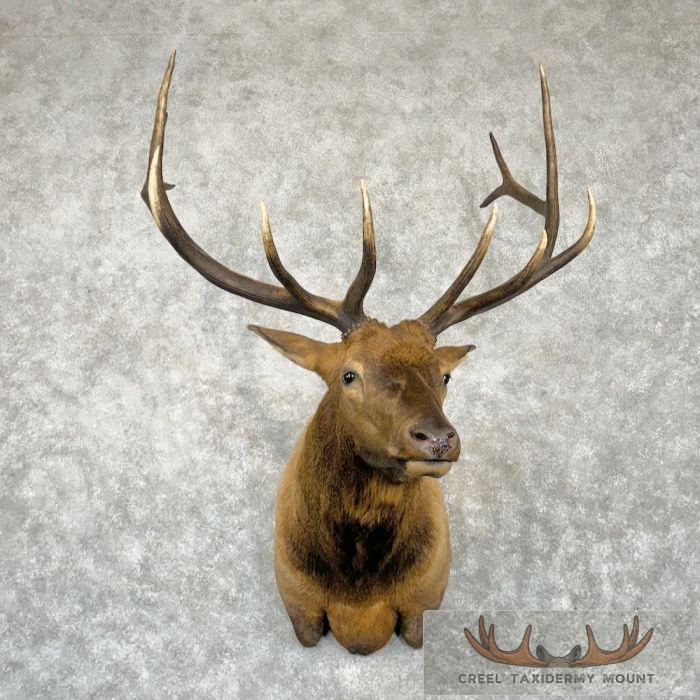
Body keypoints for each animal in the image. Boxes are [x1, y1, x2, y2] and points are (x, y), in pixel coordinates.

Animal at [142, 53, 596, 655]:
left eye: (444, 376)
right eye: (348, 375)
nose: (437, 439)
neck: (359, 595)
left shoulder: (425, 600)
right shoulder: (299, 605)